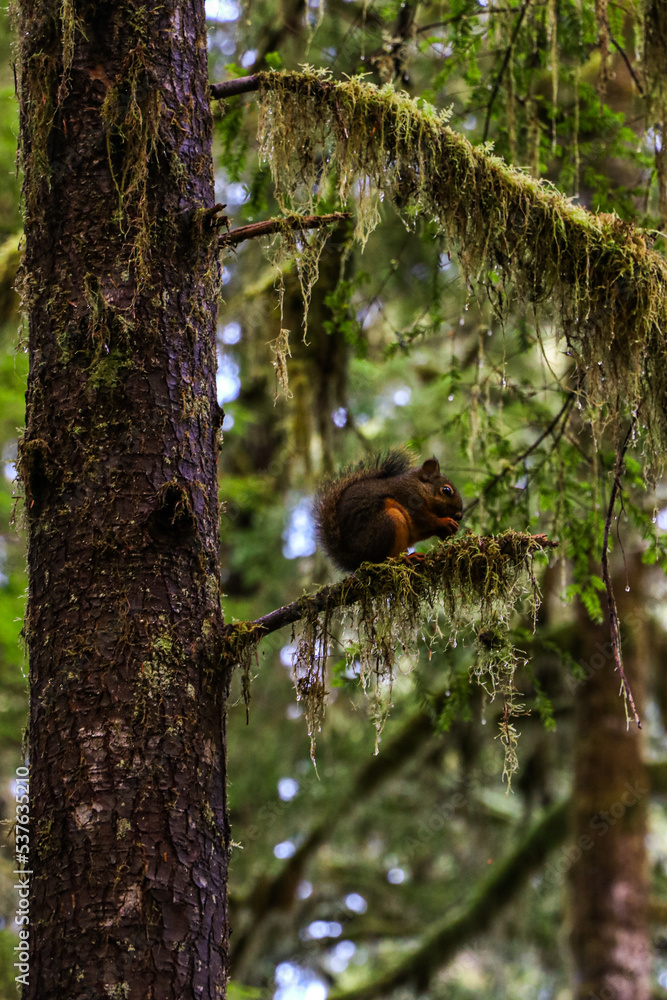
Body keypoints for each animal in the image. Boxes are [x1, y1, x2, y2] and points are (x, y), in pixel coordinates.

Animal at [314, 450, 463, 571]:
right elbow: (424, 520)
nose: (459, 515)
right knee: (384, 560)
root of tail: (356, 558)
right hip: (388, 523)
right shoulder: (408, 498)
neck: (419, 487)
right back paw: (406, 559)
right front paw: (445, 522)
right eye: (446, 490)